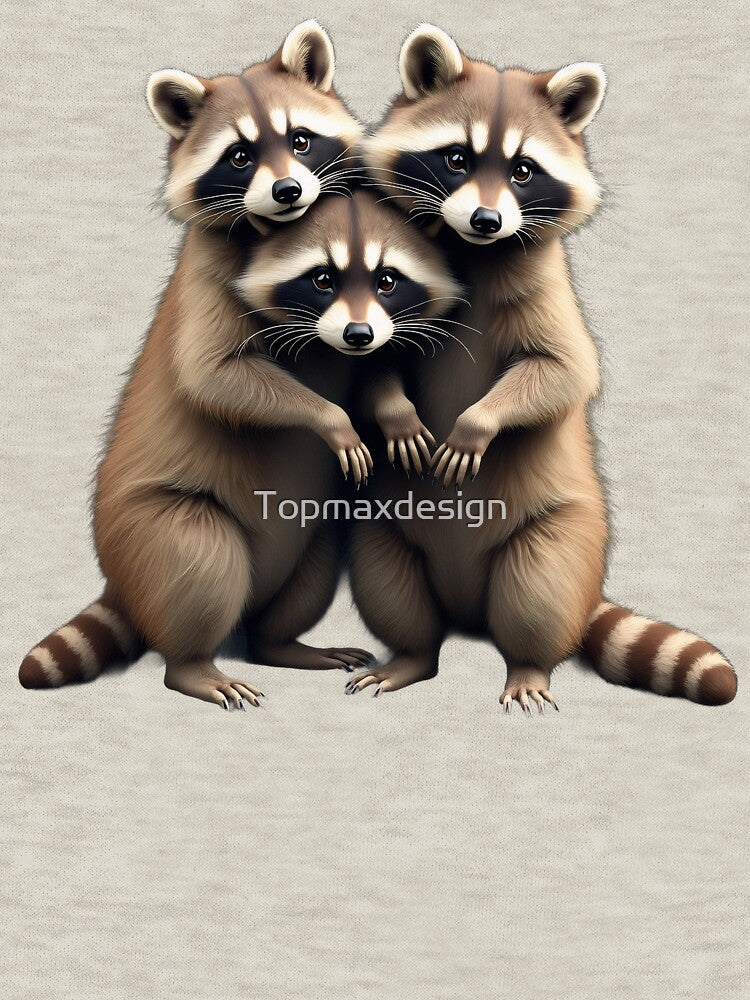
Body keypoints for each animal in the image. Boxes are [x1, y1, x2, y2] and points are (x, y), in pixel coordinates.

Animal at [345, 25, 737, 708]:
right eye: (456, 159)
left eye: (524, 171)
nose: (486, 220)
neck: (471, 250)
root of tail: (468, 618)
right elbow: (372, 361)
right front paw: (395, 411)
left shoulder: (549, 288)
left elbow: (565, 370)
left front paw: (477, 423)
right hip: (383, 527)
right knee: (391, 588)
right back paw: (411, 656)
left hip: (561, 531)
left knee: (537, 595)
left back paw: (528, 666)